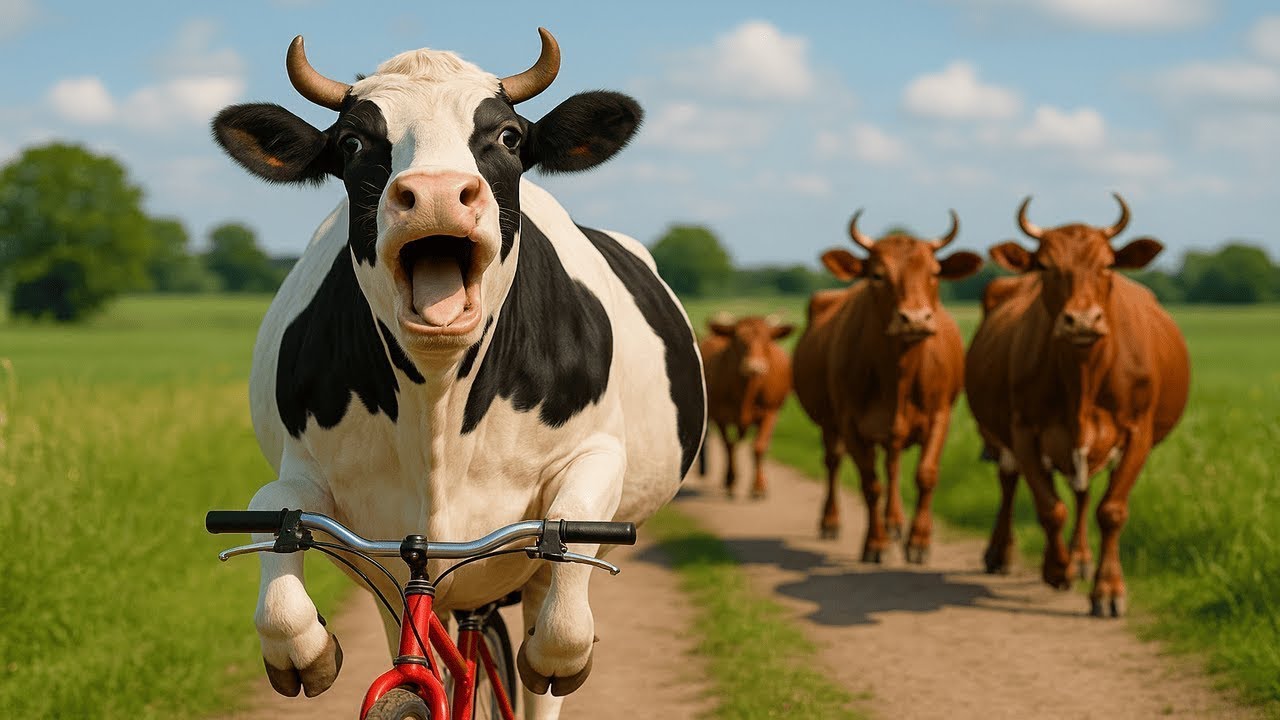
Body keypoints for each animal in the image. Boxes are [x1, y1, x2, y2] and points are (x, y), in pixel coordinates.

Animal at [209, 30, 705, 717]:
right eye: (352, 143)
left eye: (509, 137)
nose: (438, 192)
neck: (438, 401)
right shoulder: (320, 483)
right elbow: (271, 515)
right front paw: (304, 650)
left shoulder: (596, 459)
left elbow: (564, 614)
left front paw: (557, 656)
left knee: (537, 652)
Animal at [699, 313, 794, 499]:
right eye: (738, 340)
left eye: (767, 340)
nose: (754, 367)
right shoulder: (720, 416)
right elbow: (728, 445)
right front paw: (731, 479)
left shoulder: (770, 412)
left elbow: (759, 447)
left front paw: (758, 486)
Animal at [792, 210, 982, 562]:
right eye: (877, 275)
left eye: (935, 273)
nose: (916, 319)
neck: (899, 374)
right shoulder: (850, 423)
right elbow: (871, 484)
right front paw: (874, 543)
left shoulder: (941, 415)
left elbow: (925, 475)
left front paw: (919, 541)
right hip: (829, 423)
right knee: (834, 462)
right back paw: (832, 521)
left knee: (893, 464)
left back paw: (895, 520)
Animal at [966, 194, 1189, 617]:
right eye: (1045, 266)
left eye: (1107, 264)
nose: (1083, 320)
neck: (1083, 380)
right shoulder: (1024, 430)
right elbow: (1050, 508)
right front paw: (1056, 570)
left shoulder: (1138, 433)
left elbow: (1111, 510)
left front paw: (1108, 589)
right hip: (996, 434)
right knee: (1009, 482)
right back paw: (1001, 553)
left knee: (1083, 494)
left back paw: (1082, 557)